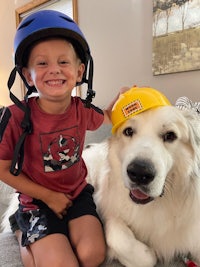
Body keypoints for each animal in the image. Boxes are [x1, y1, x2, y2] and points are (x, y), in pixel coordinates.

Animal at [82, 106, 200, 267]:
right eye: (128, 131)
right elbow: (119, 238)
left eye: (170, 135)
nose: (139, 173)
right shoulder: (104, 205)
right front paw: (149, 252)